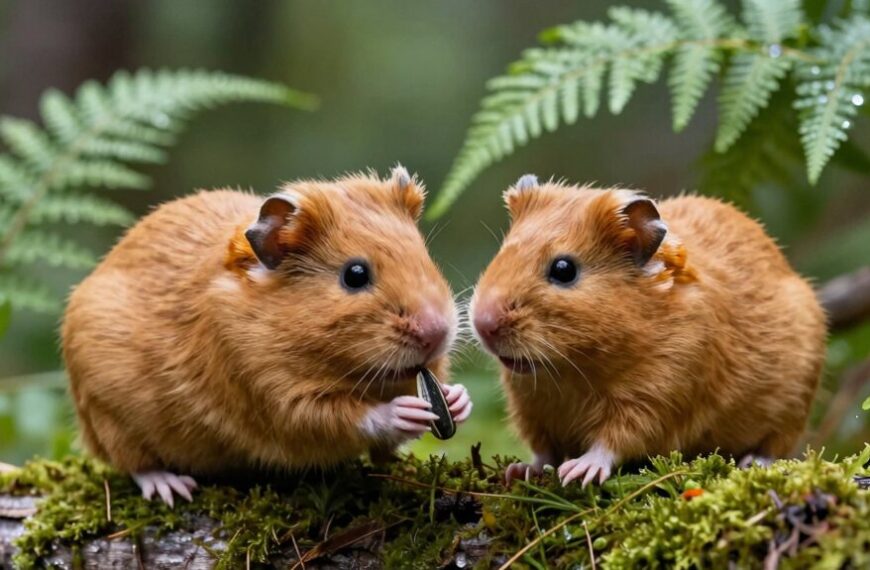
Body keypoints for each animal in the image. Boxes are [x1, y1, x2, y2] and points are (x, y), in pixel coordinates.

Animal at [62, 167, 472, 505]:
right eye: (355, 275)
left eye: (424, 255)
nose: (437, 332)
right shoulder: (279, 399)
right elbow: (352, 417)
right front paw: (406, 410)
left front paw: (456, 401)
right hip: (110, 417)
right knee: (134, 464)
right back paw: (173, 489)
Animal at [471, 175, 825, 487]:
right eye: (503, 251)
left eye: (564, 269)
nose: (483, 322)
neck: (571, 374)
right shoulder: (532, 411)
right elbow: (543, 453)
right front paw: (519, 471)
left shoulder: (654, 399)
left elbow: (613, 442)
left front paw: (580, 471)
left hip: (791, 409)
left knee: (775, 447)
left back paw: (752, 462)